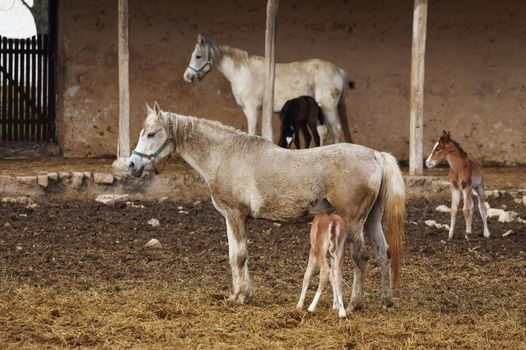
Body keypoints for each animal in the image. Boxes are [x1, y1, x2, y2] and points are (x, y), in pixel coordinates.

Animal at [184, 33, 352, 142]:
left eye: (198, 56)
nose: (187, 77)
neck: (243, 72)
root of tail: (339, 70)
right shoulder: (247, 109)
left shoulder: (252, 108)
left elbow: (252, 132)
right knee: (323, 131)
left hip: (328, 108)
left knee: (336, 130)